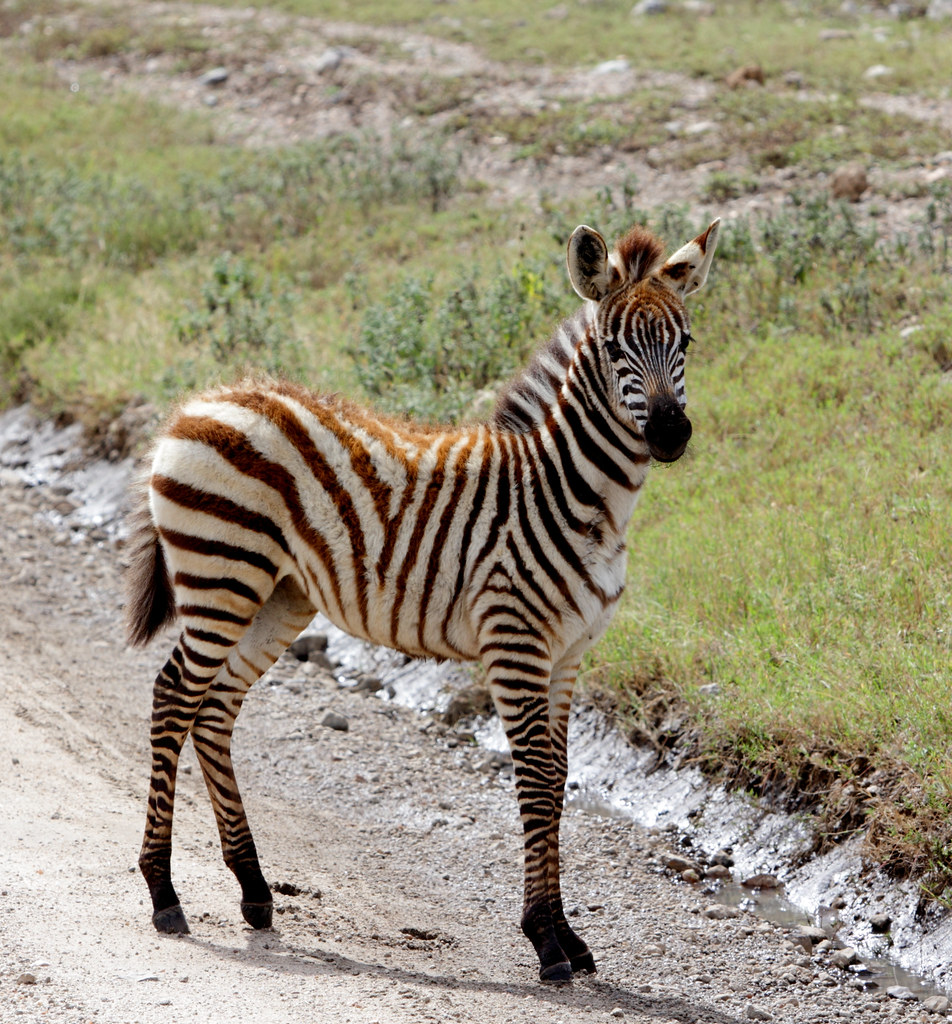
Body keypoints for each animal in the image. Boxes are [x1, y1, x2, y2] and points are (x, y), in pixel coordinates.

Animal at [127, 216, 720, 983]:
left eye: (686, 342)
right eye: (617, 347)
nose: (671, 435)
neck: (577, 496)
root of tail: (199, 403)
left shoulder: (569, 655)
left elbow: (559, 777)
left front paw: (569, 935)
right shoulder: (514, 642)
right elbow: (535, 778)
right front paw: (545, 939)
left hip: (278, 594)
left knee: (214, 707)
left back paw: (254, 890)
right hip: (222, 575)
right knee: (174, 696)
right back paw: (164, 892)